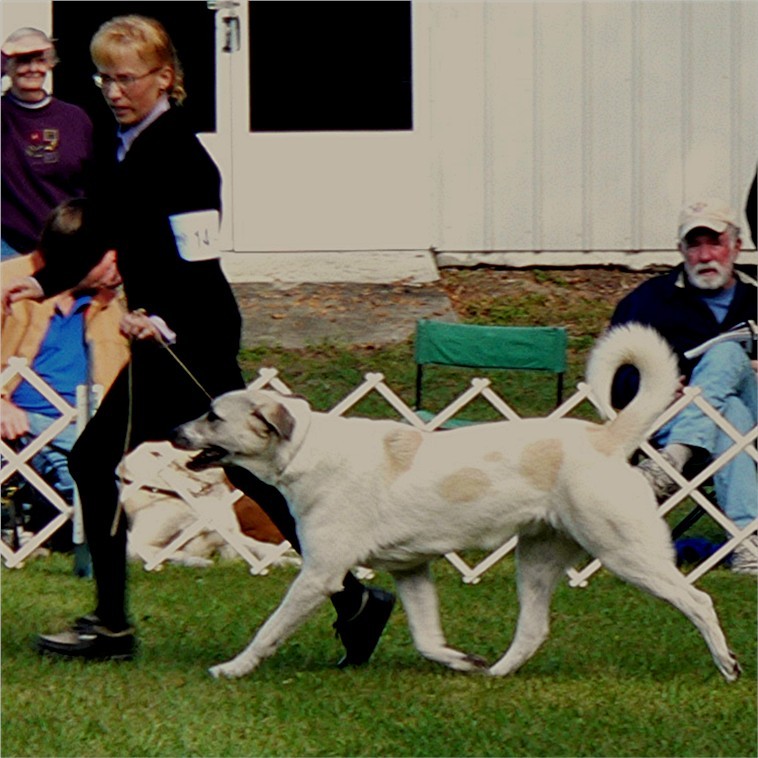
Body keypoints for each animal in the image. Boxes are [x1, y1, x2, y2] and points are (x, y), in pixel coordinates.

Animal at [172, 326, 744, 684]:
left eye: (212, 415)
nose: (174, 431)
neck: (306, 449)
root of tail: (606, 438)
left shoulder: (318, 574)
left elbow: (268, 631)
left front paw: (232, 669)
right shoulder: (411, 570)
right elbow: (427, 638)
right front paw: (461, 661)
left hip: (626, 552)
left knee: (699, 601)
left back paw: (728, 665)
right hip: (535, 560)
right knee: (533, 630)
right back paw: (493, 674)